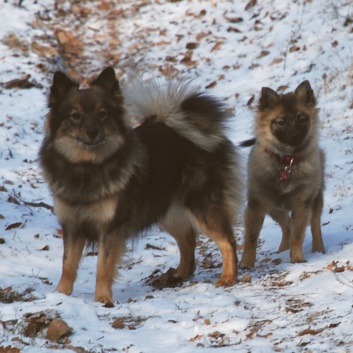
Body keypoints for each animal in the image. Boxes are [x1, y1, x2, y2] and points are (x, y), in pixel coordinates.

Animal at [38, 66, 242, 306]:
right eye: (75, 116)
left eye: (102, 113)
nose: (92, 132)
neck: (87, 167)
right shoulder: (72, 225)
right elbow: (68, 265)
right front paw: (60, 295)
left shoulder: (111, 228)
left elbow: (103, 267)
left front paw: (103, 299)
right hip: (167, 211)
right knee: (188, 241)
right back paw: (180, 275)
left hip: (202, 207)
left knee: (228, 241)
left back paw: (228, 277)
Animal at [239, 80, 324, 270]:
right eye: (281, 122)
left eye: (301, 119)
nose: (294, 135)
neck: (286, 161)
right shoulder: (257, 204)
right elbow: (251, 238)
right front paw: (246, 263)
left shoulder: (302, 203)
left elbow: (298, 234)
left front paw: (297, 257)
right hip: (274, 208)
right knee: (286, 225)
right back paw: (284, 248)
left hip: (315, 198)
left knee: (314, 224)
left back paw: (318, 248)